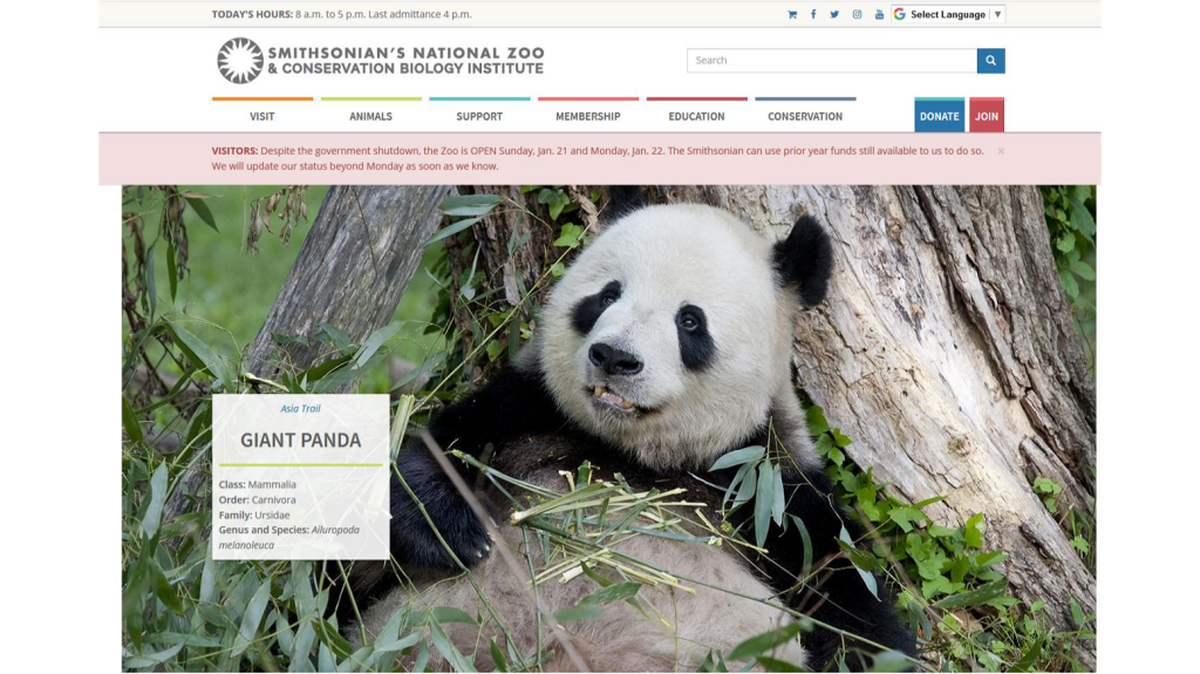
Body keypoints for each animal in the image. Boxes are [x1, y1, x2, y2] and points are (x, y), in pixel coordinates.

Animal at [341, 190, 917, 671]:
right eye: (606, 295)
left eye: (690, 321)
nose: (614, 357)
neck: (635, 456)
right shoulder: (529, 412)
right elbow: (430, 455)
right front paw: (451, 531)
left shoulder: (764, 486)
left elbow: (843, 596)